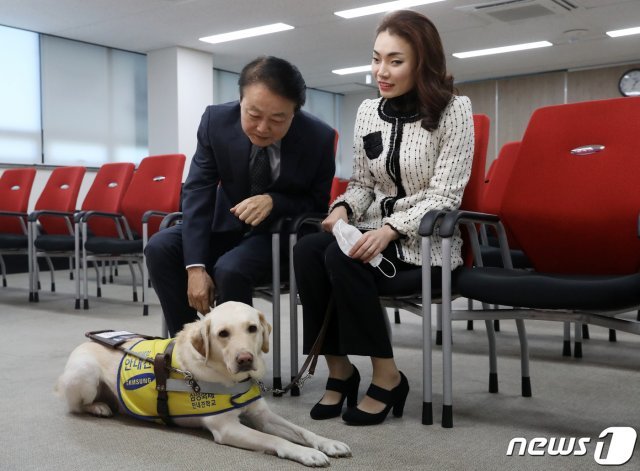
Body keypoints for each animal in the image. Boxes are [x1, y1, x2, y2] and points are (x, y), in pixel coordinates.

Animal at [56, 302, 350, 468]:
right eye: (223, 334)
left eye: (252, 328)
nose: (245, 359)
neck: (228, 376)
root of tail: (85, 342)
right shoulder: (227, 427)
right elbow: (275, 439)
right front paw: (307, 454)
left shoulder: (262, 415)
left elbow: (301, 431)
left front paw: (328, 443)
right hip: (85, 374)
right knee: (75, 406)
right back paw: (99, 407)